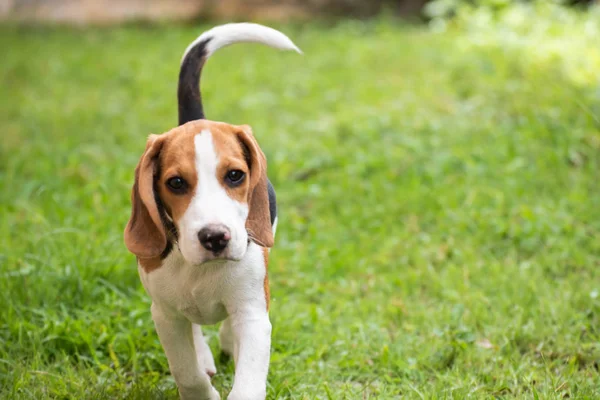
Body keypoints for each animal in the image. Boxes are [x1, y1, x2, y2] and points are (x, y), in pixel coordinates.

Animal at [123, 23, 300, 398]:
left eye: (235, 175)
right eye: (175, 183)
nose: (215, 237)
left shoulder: (253, 313)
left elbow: (247, 381)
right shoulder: (164, 315)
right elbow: (186, 371)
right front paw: (201, 387)